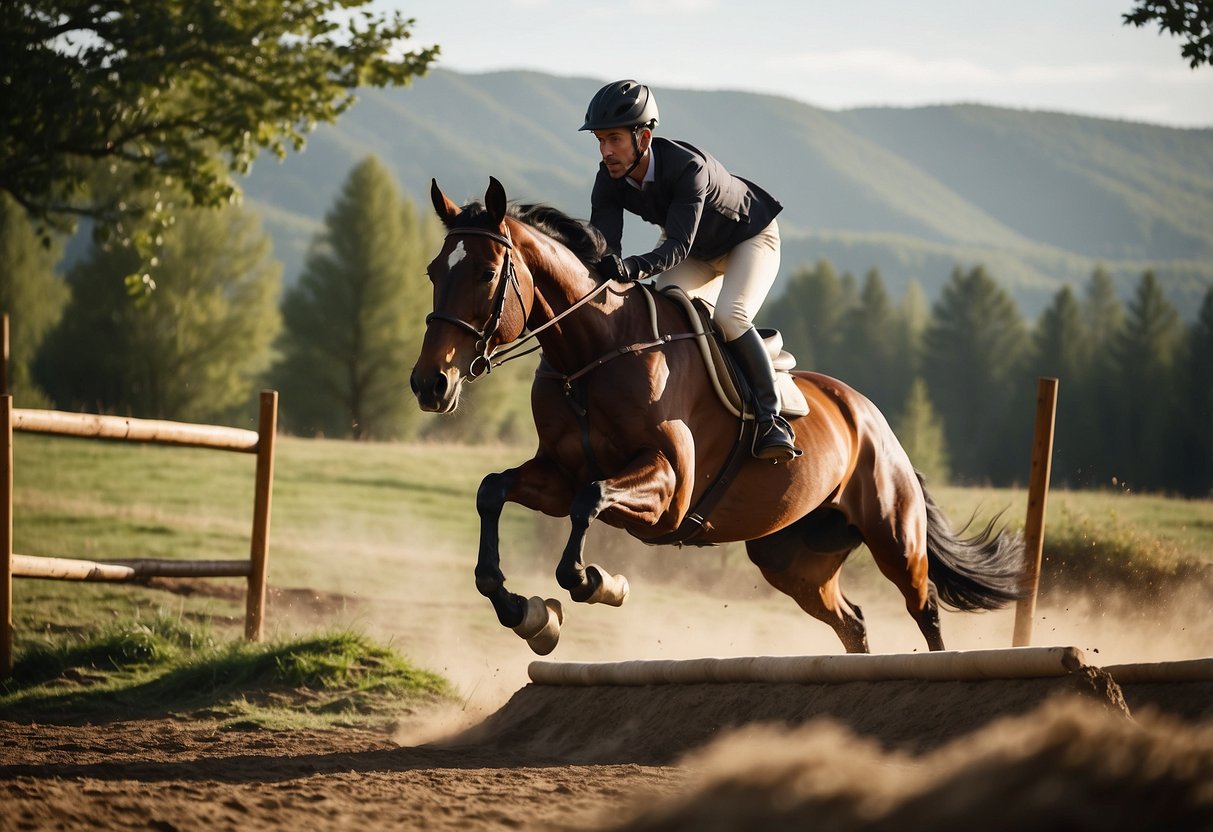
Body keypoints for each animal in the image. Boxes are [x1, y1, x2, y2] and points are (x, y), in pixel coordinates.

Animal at [409, 177, 1023, 659]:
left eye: (487, 274)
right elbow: (494, 490)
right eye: (434, 270)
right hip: (791, 558)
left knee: (926, 607)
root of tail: (873, 420)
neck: (591, 354)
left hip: (894, 534)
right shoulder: (560, 474)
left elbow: (589, 507)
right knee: (852, 620)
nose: (429, 383)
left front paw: (600, 584)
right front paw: (527, 613)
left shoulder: (668, 489)